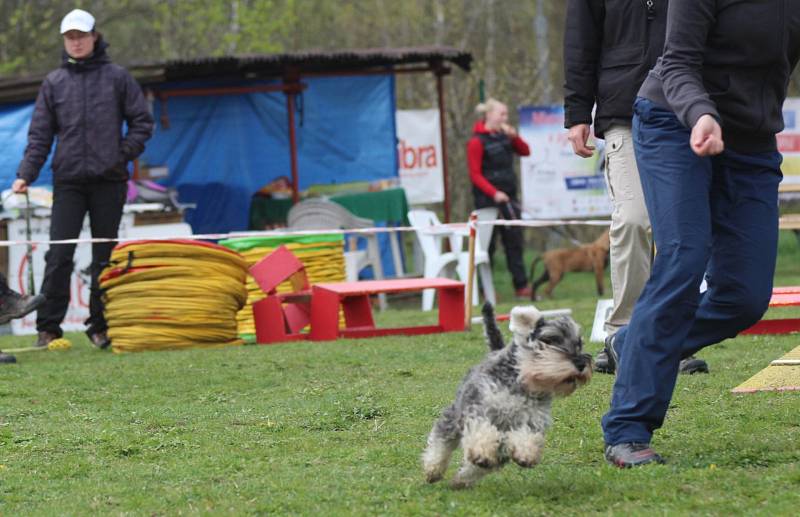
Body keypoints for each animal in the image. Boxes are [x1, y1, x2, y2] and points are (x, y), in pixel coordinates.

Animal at [422, 300, 592, 486]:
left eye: (578, 343)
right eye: (548, 339)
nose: (581, 364)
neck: (522, 381)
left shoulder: (532, 420)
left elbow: (527, 437)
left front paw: (526, 453)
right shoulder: (479, 408)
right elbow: (482, 431)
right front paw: (482, 451)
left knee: (478, 466)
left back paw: (462, 480)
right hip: (454, 417)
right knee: (441, 440)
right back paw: (434, 469)